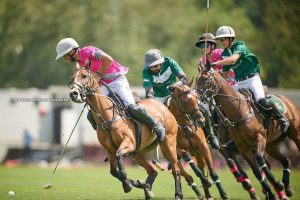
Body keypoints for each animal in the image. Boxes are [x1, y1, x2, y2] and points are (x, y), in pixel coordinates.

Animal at [68, 69, 183, 200]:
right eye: (72, 78)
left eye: (84, 76)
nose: (73, 94)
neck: (107, 118)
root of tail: (164, 106)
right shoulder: (109, 150)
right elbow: (113, 171)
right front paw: (131, 183)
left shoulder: (128, 143)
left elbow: (119, 158)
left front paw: (128, 184)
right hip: (138, 153)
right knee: (153, 171)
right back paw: (147, 188)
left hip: (169, 143)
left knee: (176, 170)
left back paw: (178, 194)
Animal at [197, 67, 300, 200]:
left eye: (206, 79)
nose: (196, 96)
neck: (239, 112)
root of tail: (288, 100)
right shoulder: (240, 148)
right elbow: (254, 171)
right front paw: (271, 191)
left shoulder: (259, 139)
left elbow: (261, 164)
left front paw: (276, 187)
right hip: (271, 145)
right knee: (286, 160)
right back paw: (287, 188)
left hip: (295, 135)